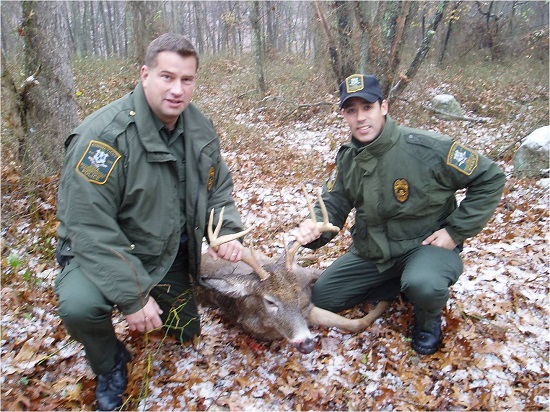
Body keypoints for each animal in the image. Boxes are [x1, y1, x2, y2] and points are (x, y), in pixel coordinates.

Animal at [198, 189, 392, 354]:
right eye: (269, 301)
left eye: (296, 294)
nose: (306, 344)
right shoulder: (306, 313)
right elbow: (357, 323)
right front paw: (385, 300)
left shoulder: (306, 281)